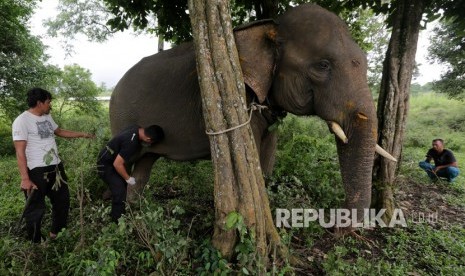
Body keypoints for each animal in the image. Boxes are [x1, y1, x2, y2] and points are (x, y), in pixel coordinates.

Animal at [109, 3, 396, 223]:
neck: (269, 25)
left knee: (144, 167)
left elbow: (268, 153)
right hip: (121, 119)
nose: (337, 227)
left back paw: (134, 213)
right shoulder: (241, 98)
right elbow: (255, 154)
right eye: (322, 65)